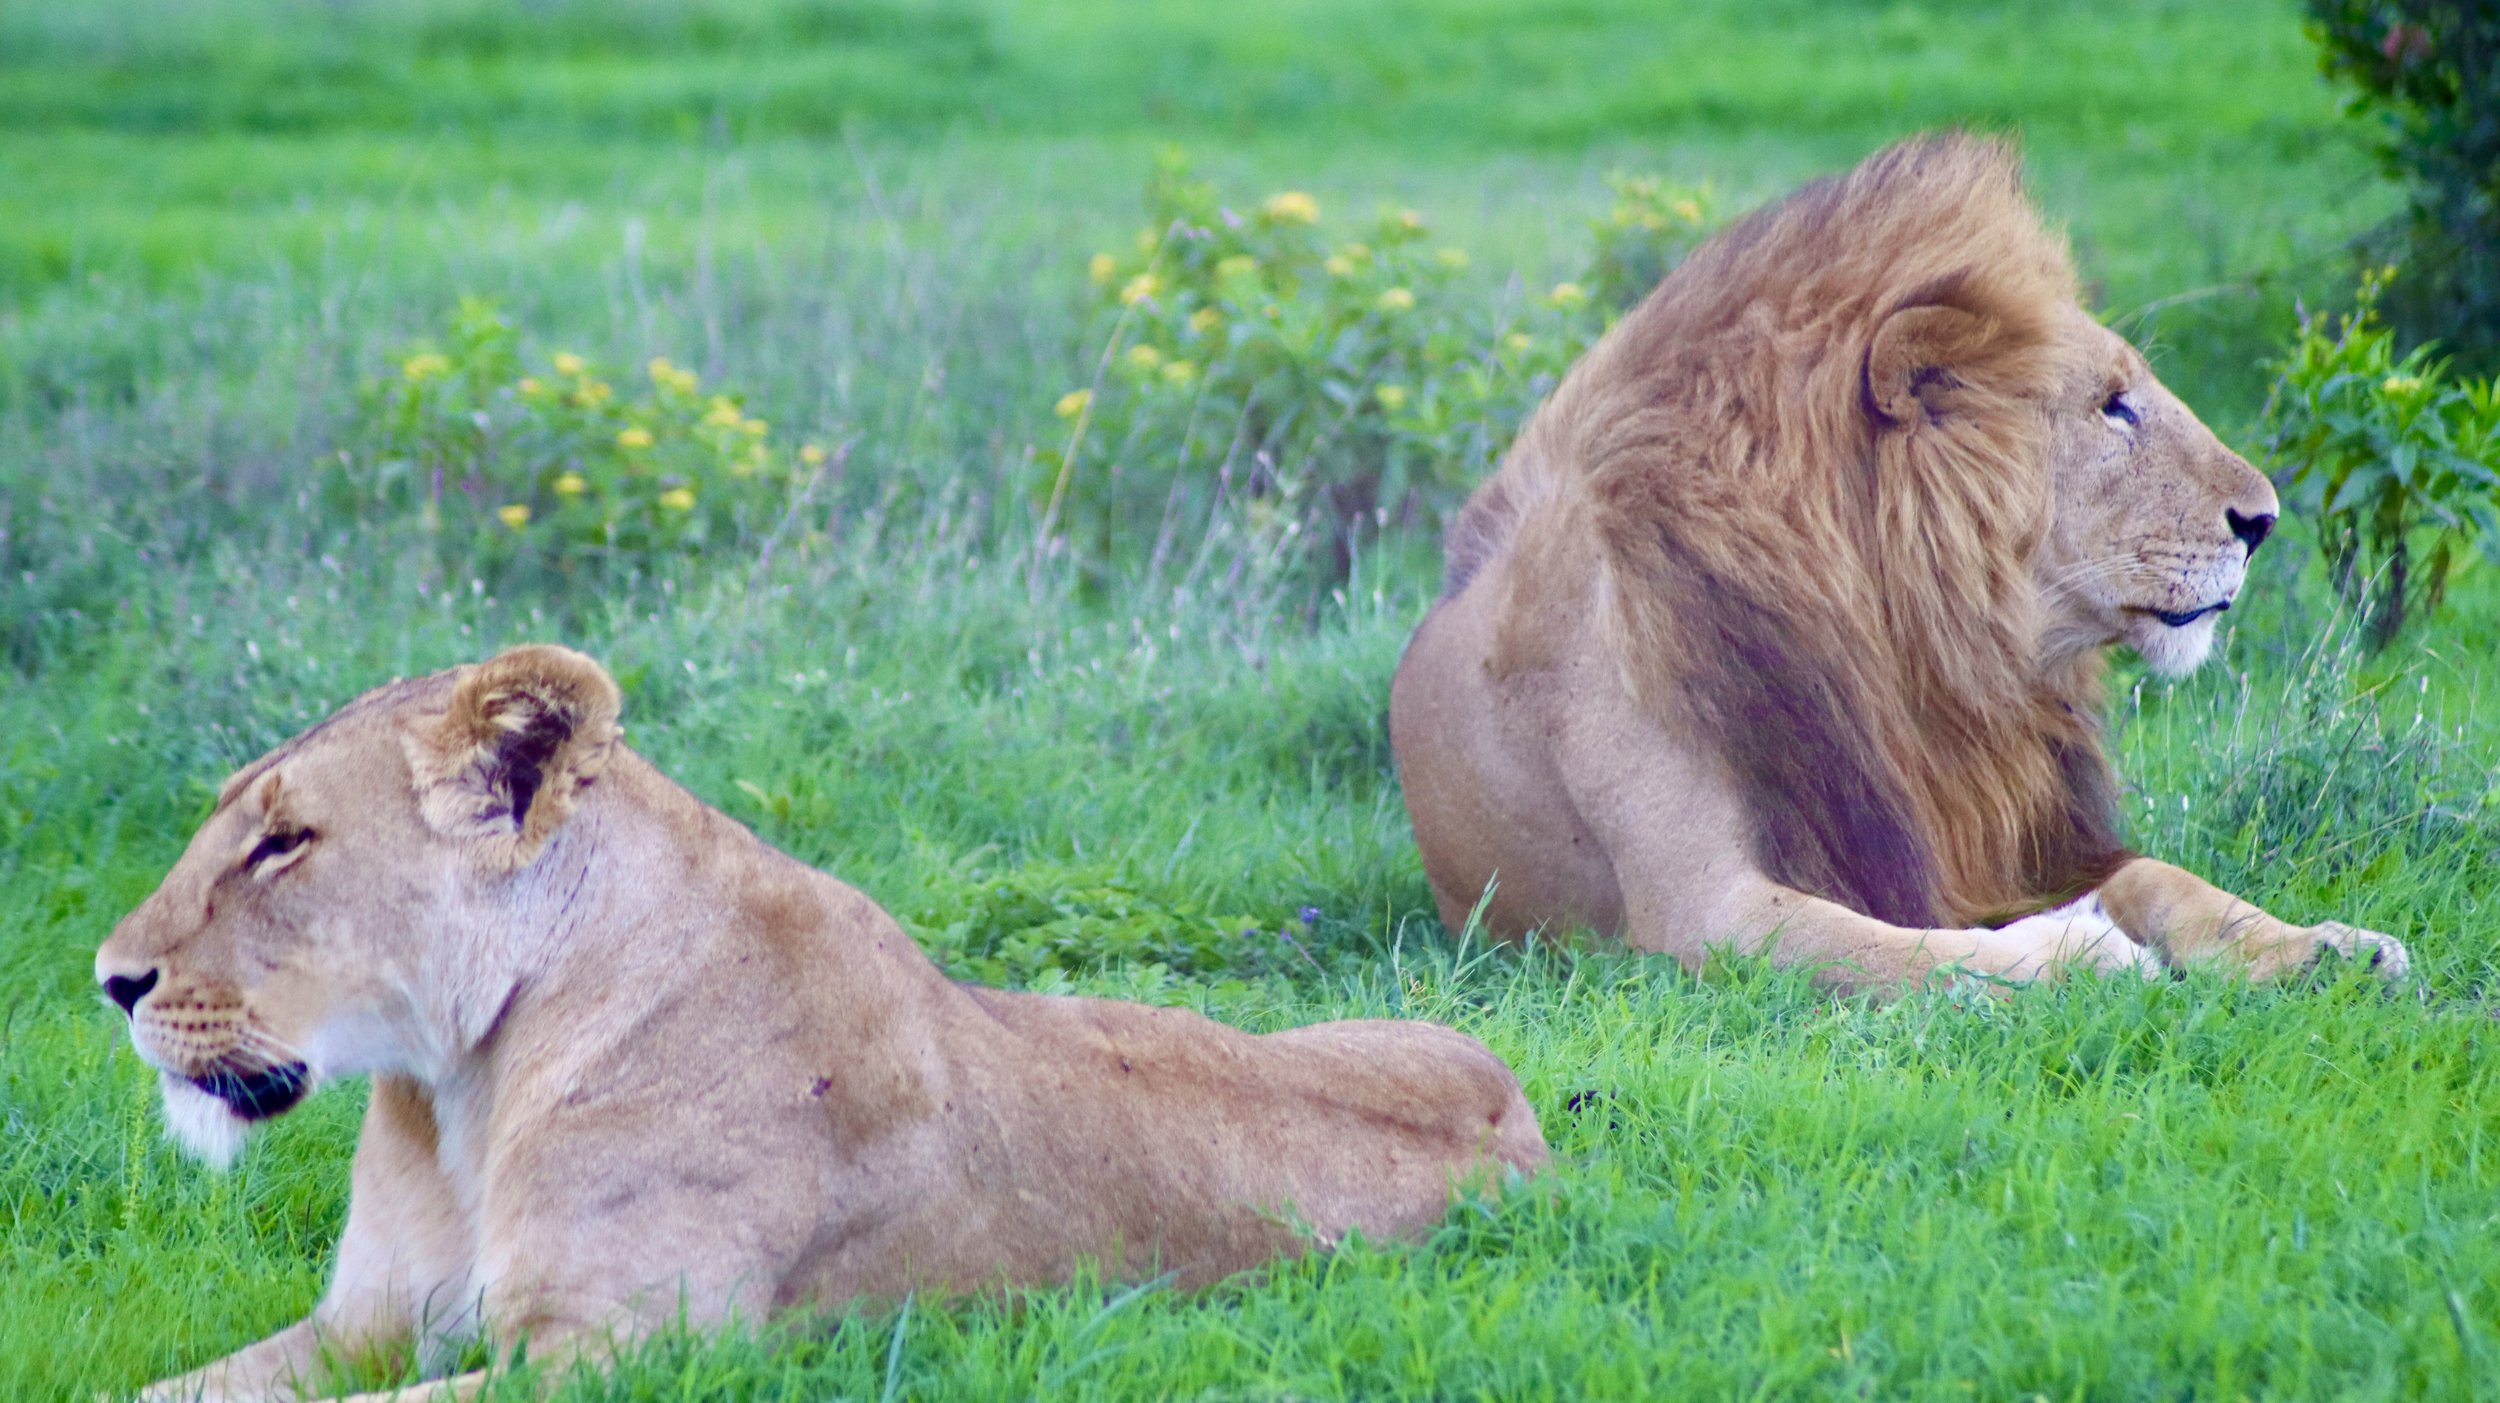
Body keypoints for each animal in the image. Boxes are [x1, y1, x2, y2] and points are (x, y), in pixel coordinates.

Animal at [96, 644, 1547, 1403]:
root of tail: (1525, 1116)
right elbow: (159, 1392)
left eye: (284, 841)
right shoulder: (366, 1321)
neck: (460, 1087)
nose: (110, 978)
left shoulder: (624, 1354)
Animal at [1389, 134, 2411, 991]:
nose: (2263, 519)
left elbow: (2168, 878)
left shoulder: (1994, 837)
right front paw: (2085, 952)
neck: (1909, 654)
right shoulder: (1703, 912)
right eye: (2114, 406)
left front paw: (2328, 946)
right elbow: (1919, 954)